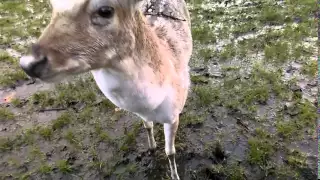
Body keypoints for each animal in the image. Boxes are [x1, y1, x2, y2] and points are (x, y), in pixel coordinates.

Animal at [19, 0, 192, 179]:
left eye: (105, 11)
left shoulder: (173, 114)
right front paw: (151, 148)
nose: (28, 64)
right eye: (52, 6)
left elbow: (170, 152)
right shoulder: (142, 113)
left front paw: (175, 175)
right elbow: (147, 127)